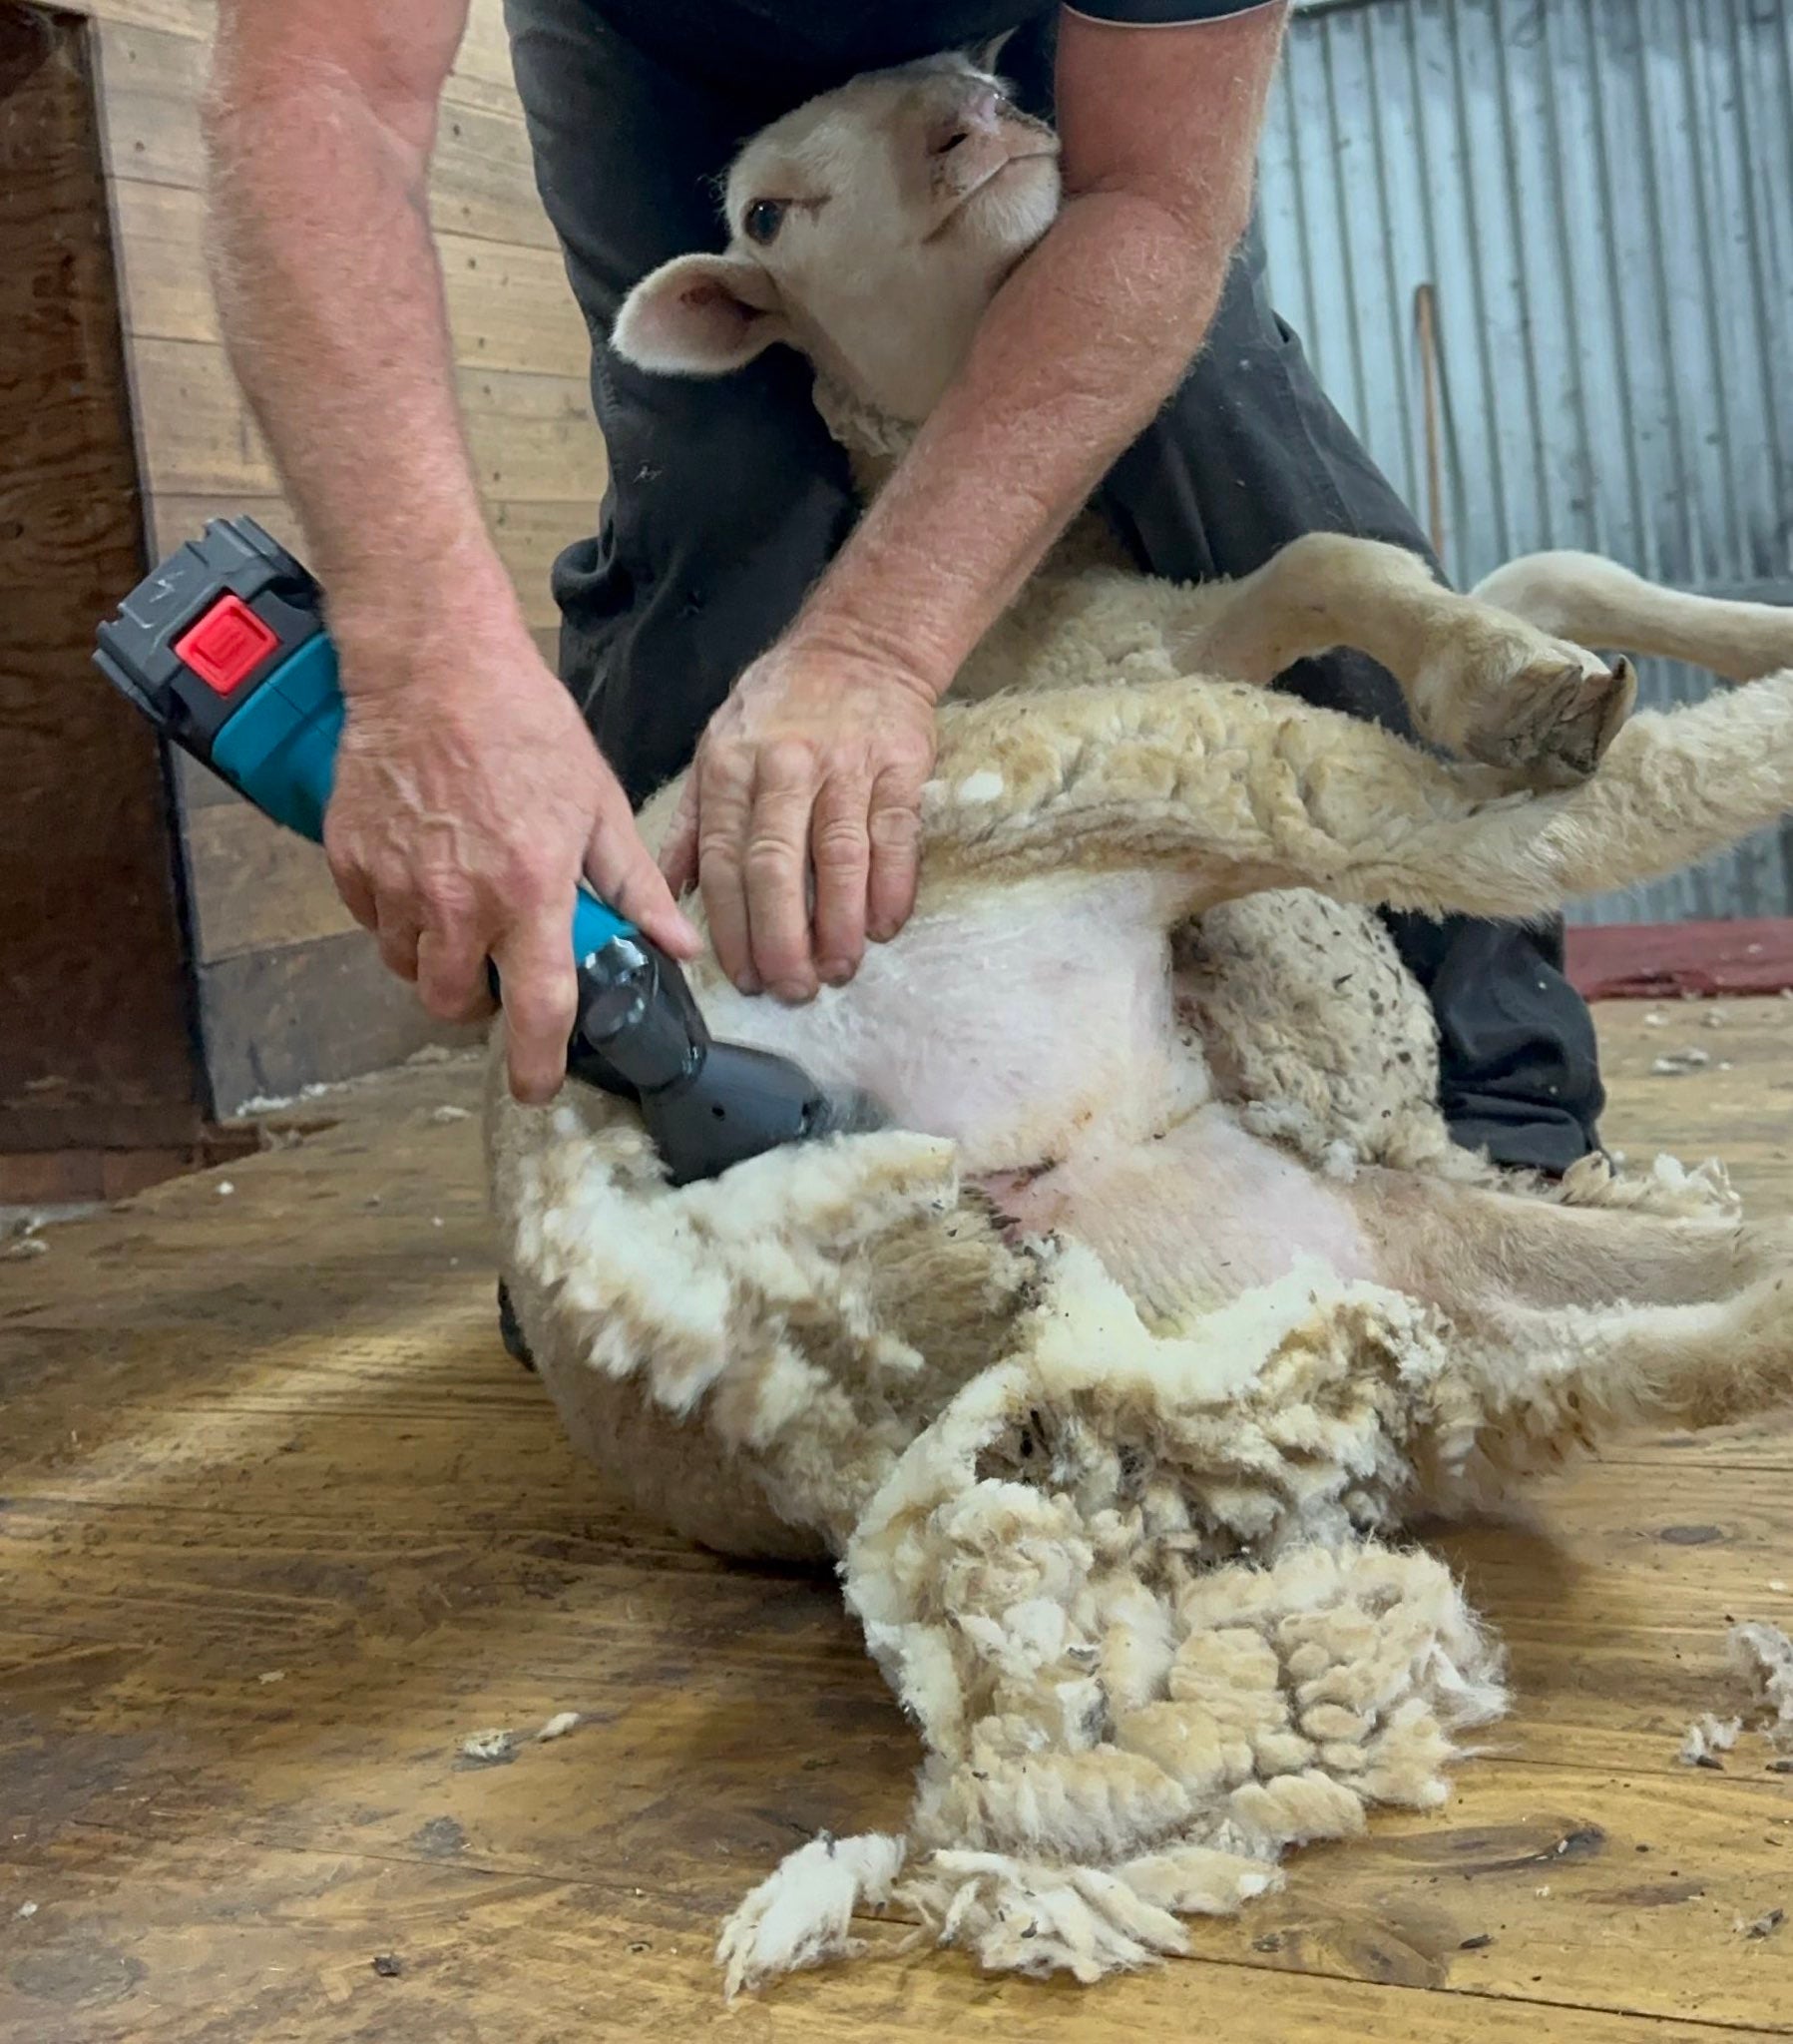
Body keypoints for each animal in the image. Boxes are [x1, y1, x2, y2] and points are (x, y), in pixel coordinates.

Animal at [484, 51, 1793, 1991]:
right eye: (767, 208)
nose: (972, 101)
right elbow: (1354, 565)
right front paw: (1527, 688)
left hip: (1388, 1295)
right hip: (1140, 815)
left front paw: (1675, 634)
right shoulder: (1168, 667)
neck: (1040, 573)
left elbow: (1536, 567)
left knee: (1642, 1336)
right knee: (1538, 818)